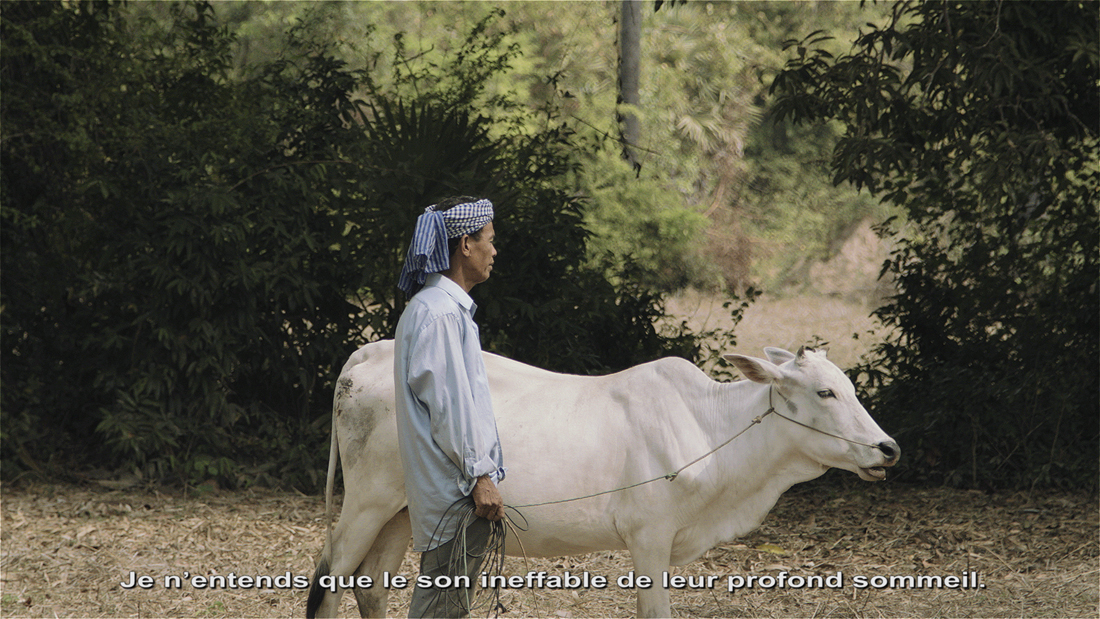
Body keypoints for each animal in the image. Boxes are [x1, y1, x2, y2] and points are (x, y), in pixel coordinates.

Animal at [305, 340, 897, 615]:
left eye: (848, 385)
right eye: (825, 392)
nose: (888, 449)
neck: (710, 428)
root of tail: (373, 352)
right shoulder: (650, 538)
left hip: (403, 513)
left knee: (371, 585)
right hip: (366, 501)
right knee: (330, 578)